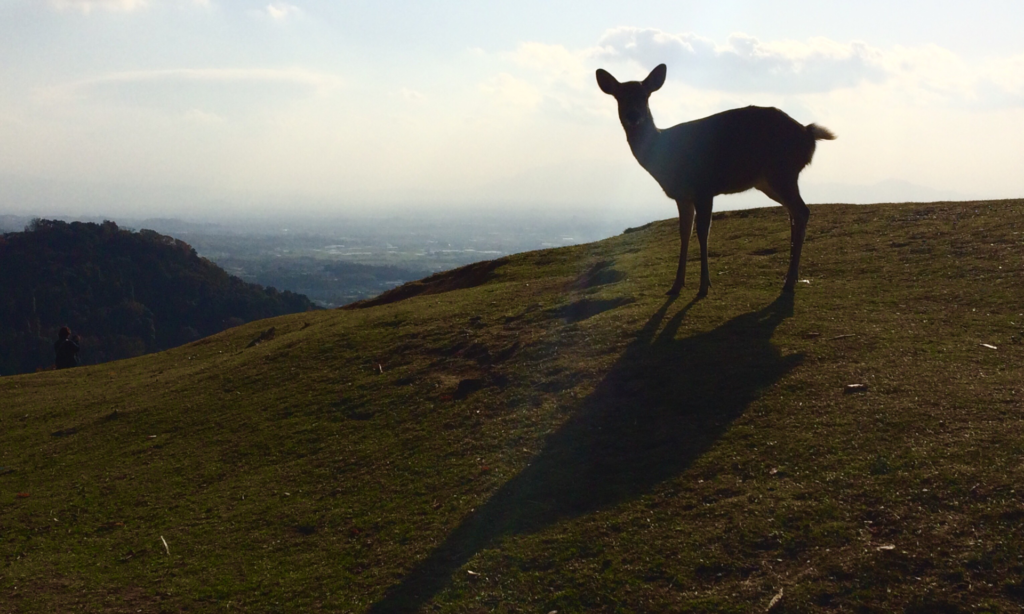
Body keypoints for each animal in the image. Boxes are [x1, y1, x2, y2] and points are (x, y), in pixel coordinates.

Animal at [596, 63, 835, 298]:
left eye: (645, 96)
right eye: (619, 97)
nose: (633, 115)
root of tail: (808, 134)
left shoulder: (704, 188)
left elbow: (704, 232)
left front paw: (704, 286)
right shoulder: (682, 195)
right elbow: (684, 232)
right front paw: (676, 285)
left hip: (782, 172)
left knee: (802, 211)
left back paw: (789, 281)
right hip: (770, 180)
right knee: (794, 212)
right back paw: (793, 275)